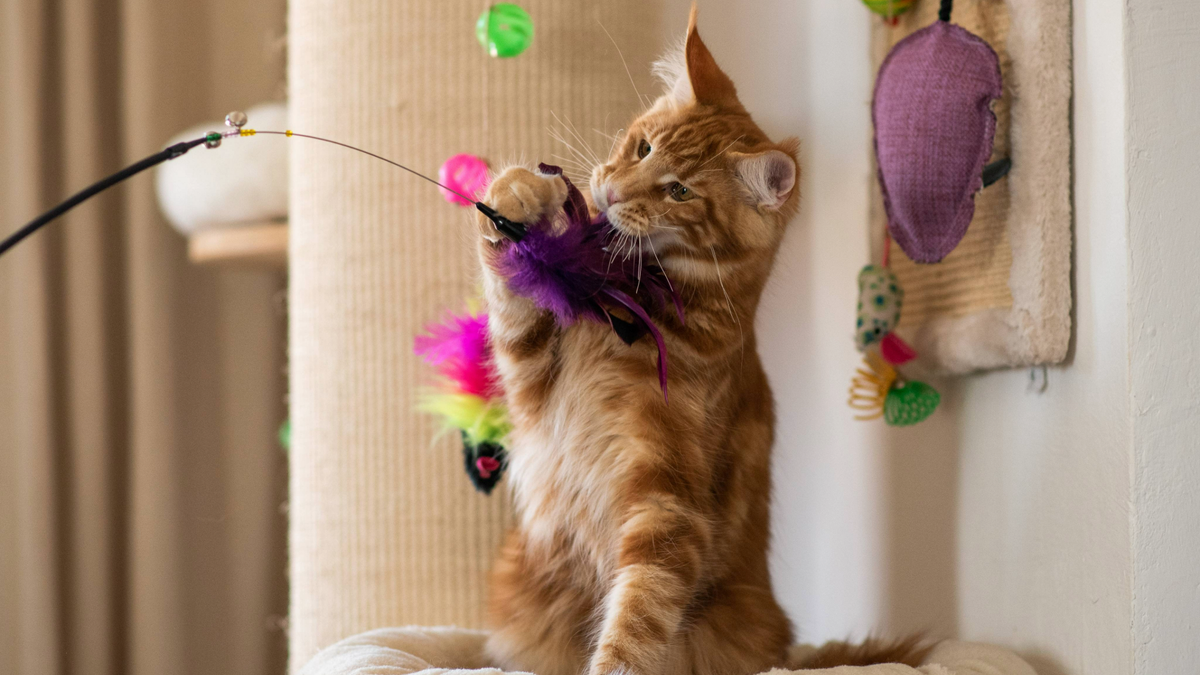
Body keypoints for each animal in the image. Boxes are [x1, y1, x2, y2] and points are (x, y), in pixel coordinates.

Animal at [477, 6, 926, 672]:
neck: (629, 314)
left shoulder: (668, 507)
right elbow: (509, 288)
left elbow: (637, 619)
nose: (611, 191)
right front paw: (519, 195)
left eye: (679, 191)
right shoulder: (530, 375)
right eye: (642, 147)